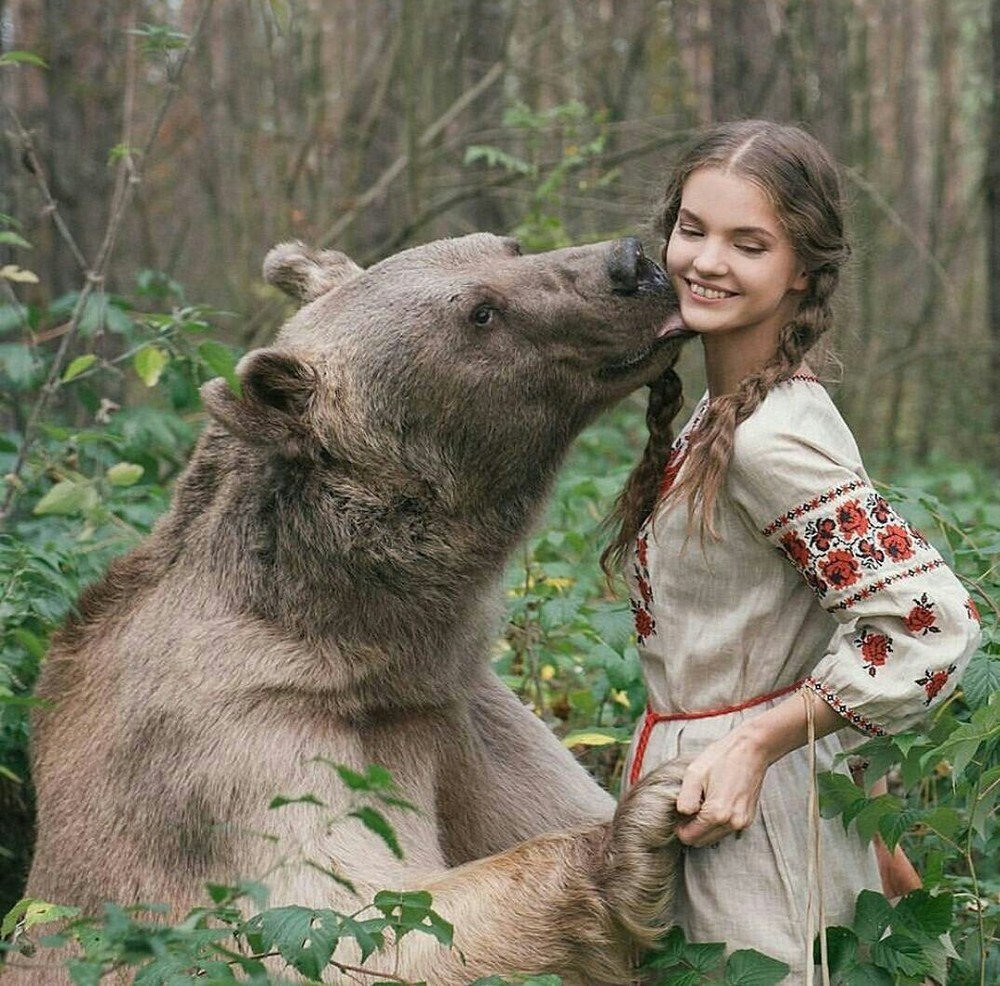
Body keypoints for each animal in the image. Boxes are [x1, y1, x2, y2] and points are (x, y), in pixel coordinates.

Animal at [15, 234, 692, 980]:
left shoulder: (460, 713)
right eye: (480, 313)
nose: (631, 264)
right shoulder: (238, 753)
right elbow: (350, 924)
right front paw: (641, 824)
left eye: (506, 246)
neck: (364, 638)